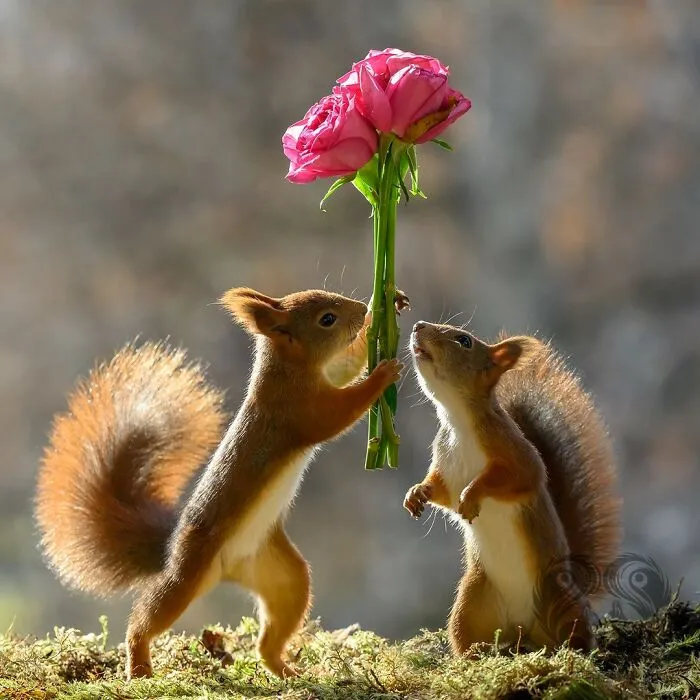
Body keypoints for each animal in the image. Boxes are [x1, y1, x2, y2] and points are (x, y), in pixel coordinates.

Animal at [35, 287, 405, 680]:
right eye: (327, 319)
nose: (361, 310)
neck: (287, 369)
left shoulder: (326, 375)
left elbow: (345, 366)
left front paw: (384, 307)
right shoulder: (298, 411)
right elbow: (340, 412)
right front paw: (383, 373)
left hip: (282, 575)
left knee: (268, 638)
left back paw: (285, 669)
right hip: (189, 573)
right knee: (148, 616)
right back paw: (139, 663)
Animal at [403, 321, 621, 654]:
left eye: (463, 340)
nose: (418, 326)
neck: (457, 423)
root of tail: (523, 629)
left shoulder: (517, 454)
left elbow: (513, 478)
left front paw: (472, 495)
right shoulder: (446, 466)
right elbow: (440, 491)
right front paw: (416, 493)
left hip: (559, 600)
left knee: (576, 633)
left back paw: (578, 650)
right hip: (473, 601)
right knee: (467, 633)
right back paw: (472, 656)